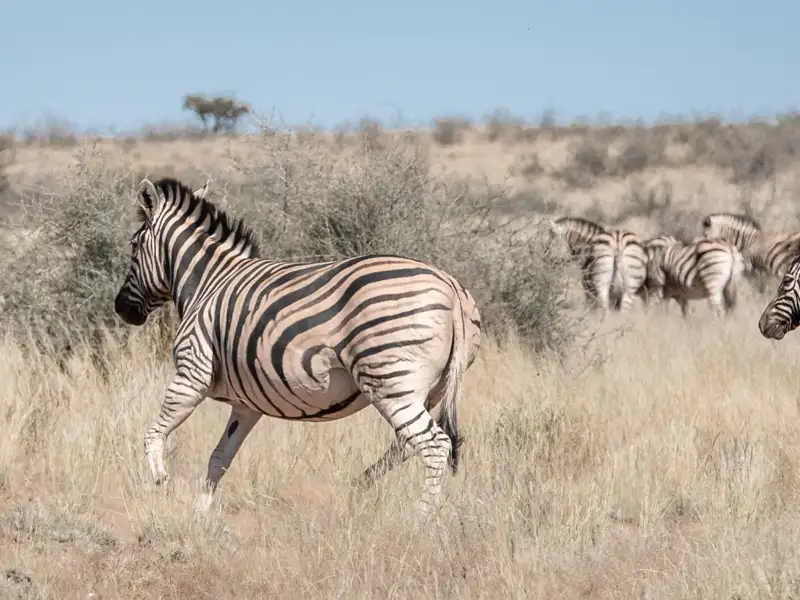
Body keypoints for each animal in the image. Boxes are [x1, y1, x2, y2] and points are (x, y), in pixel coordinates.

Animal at [113, 177, 483, 515]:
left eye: (133, 246)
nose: (121, 309)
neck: (208, 281)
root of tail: (450, 287)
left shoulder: (192, 373)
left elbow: (154, 433)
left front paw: (161, 480)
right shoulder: (246, 405)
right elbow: (219, 457)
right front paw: (201, 512)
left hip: (390, 381)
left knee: (433, 444)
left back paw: (423, 517)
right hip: (430, 389)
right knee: (409, 443)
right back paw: (359, 486)